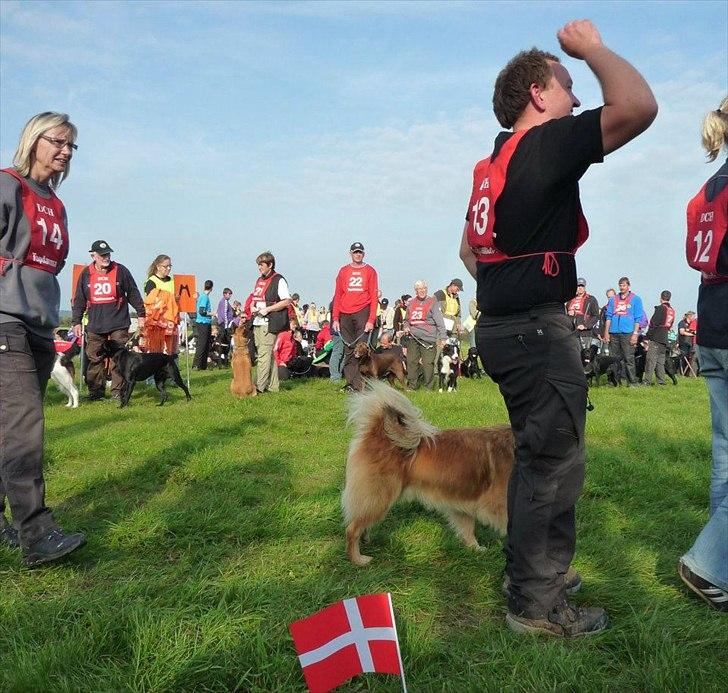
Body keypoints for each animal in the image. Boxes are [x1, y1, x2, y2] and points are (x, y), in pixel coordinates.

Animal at [342, 382, 512, 564]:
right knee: (352, 529)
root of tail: (377, 433)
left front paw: (475, 549)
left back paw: (365, 539)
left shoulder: (463, 501)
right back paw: (358, 559)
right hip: (380, 497)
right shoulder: (498, 503)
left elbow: (467, 529)